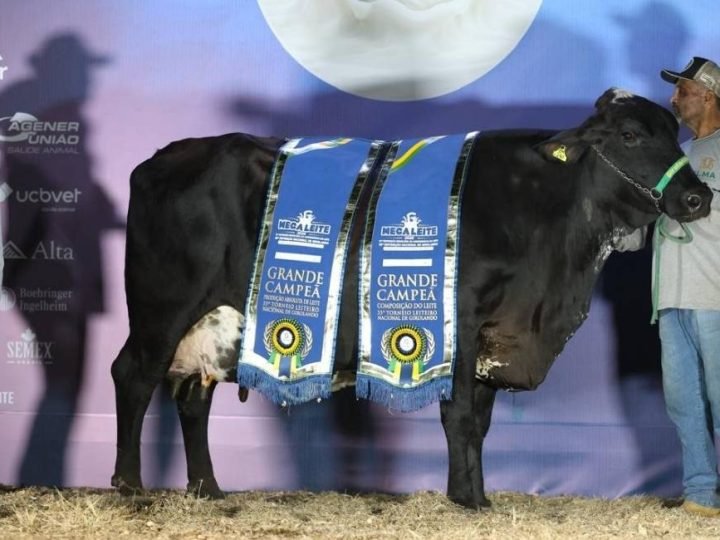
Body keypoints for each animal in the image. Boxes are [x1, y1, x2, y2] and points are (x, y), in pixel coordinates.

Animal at [110, 89, 712, 509]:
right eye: (630, 135)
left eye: (675, 129)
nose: (698, 197)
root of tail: (163, 158)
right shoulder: (460, 318)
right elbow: (460, 415)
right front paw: (470, 502)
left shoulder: (492, 335)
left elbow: (480, 421)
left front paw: (472, 493)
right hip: (161, 307)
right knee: (134, 376)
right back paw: (130, 485)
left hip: (216, 320)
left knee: (193, 395)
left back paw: (206, 490)